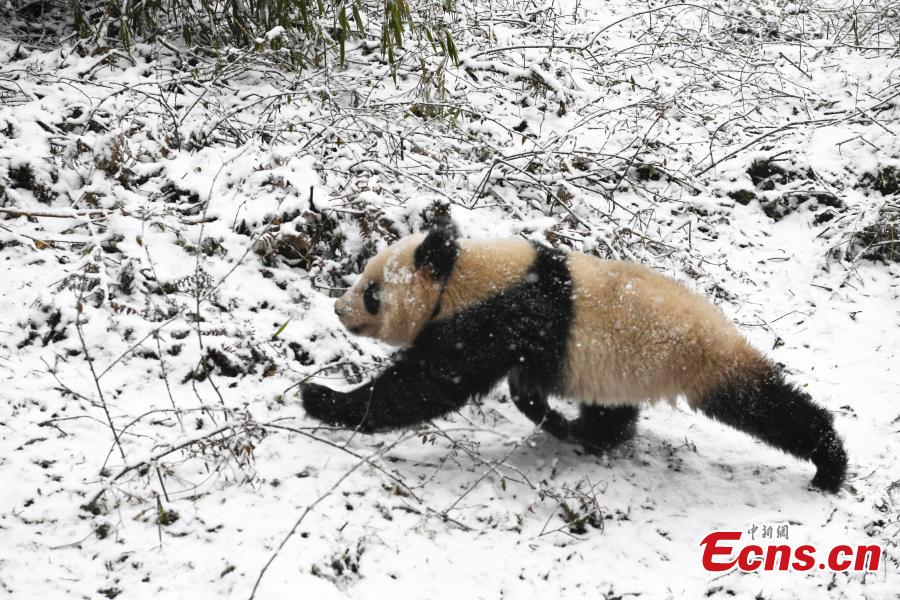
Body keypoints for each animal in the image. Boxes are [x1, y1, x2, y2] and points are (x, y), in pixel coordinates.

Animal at [304, 221, 852, 492]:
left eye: (372, 291)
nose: (339, 308)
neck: (460, 274)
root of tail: (721, 328)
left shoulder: (497, 316)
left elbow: (429, 383)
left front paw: (322, 398)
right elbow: (516, 386)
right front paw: (540, 409)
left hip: (701, 361)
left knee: (765, 405)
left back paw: (829, 464)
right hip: (621, 371)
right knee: (613, 414)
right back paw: (582, 433)